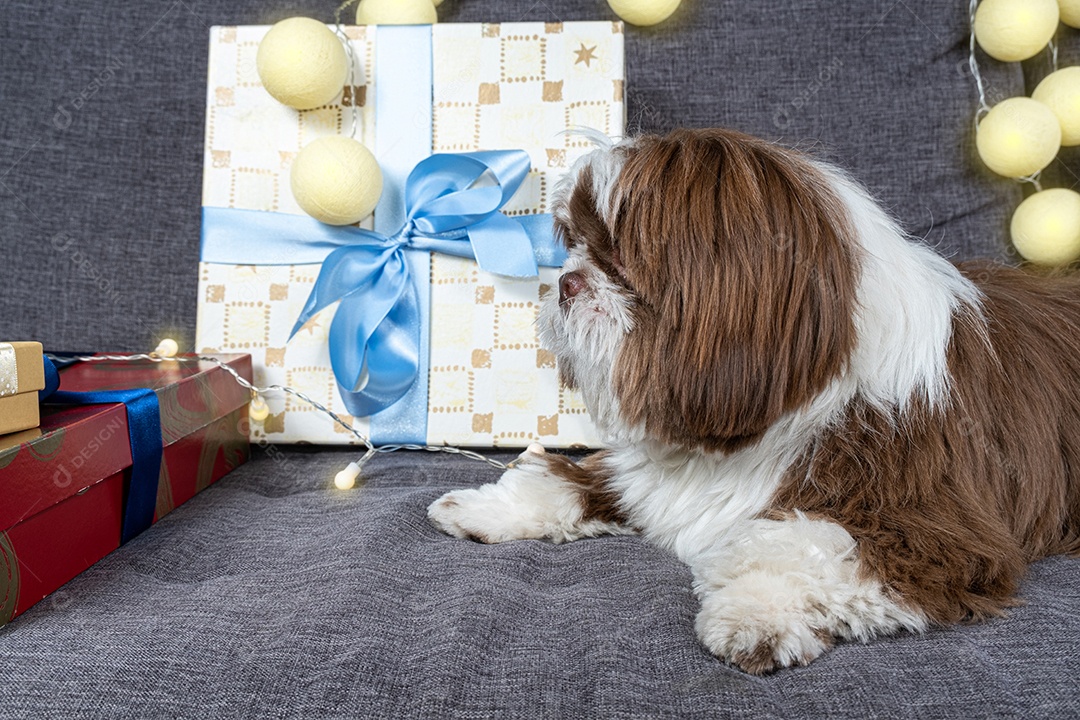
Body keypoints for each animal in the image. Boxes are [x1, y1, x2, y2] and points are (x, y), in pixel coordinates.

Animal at [425, 127, 1080, 677]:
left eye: (620, 259)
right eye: (577, 245)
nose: (566, 281)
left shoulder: (931, 528)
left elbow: (809, 547)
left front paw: (756, 611)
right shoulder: (646, 474)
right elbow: (568, 478)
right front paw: (490, 507)